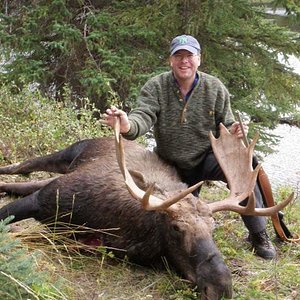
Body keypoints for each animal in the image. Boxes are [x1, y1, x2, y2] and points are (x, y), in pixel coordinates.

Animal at [0, 119, 292, 300]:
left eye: (213, 228)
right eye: (175, 228)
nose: (221, 287)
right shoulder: (48, 198)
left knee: (25, 180)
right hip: (69, 153)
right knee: (22, 167)